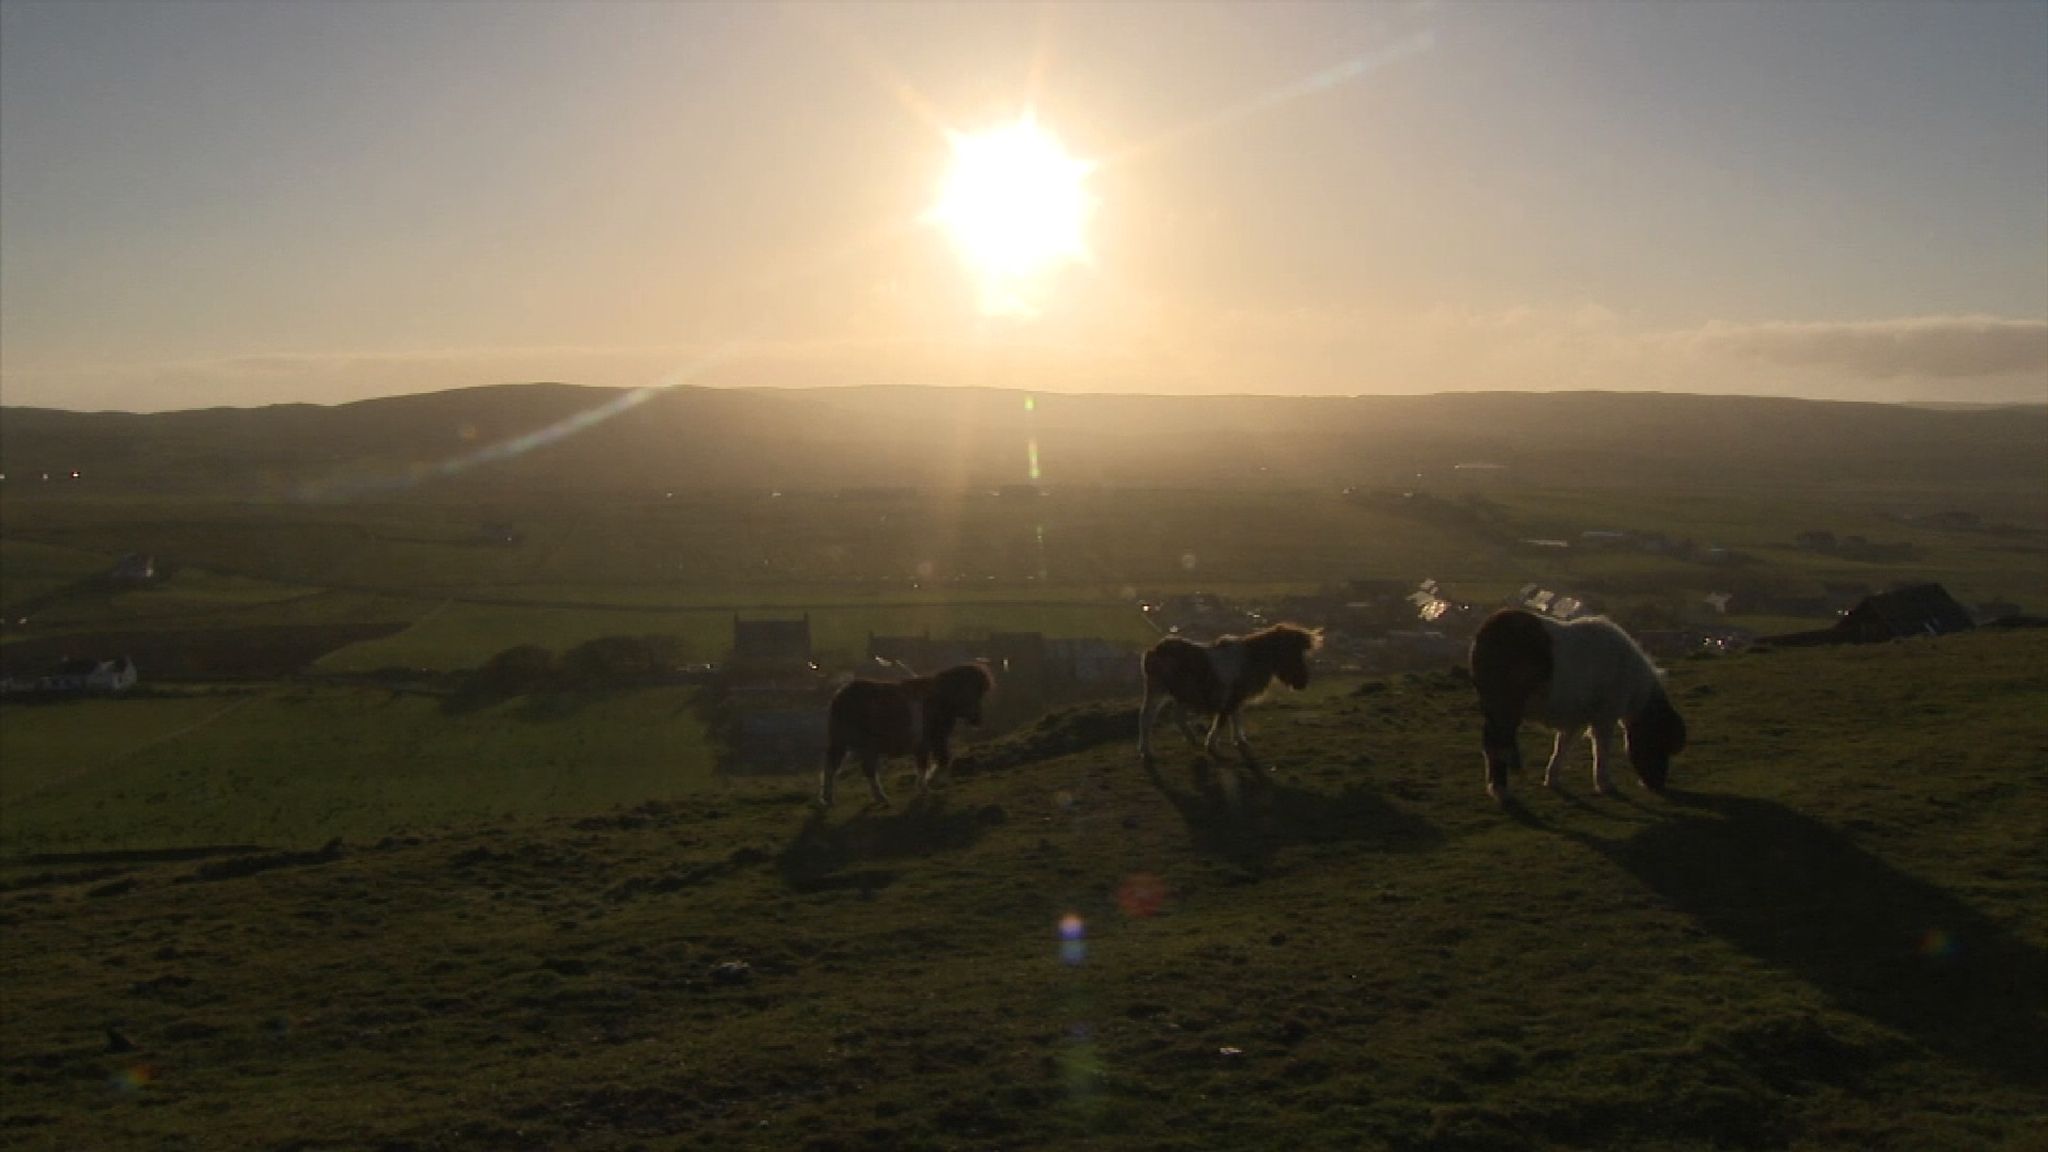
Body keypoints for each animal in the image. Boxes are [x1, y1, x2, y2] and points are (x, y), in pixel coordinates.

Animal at [823, 660, 999, 803]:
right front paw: (926, 786)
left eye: (980, 693)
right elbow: (934, 763)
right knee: (847, 769)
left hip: (854, 744)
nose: (977, 720)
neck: (939, 700)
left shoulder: (931, 742)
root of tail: (840, 694)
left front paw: (928, 784)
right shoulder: (931, 741)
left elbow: (934, 762)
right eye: (969, 691)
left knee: (847, 768)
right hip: (853, 743)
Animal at [1138, 623, 1327, 758]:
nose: (1302, 683)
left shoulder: (1237, 697)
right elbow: (1222, 719)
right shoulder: (1228, 698)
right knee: (1151, 717)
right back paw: (1149, 751)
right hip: (1163, 690)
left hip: (1176, 692)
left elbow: (1236, 717)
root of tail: (1155, 650)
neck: (1252, 658)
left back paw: (1183, 740)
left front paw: (1240, 741)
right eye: (1293, 653)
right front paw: (1213, 746)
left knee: (1168, 715)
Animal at [1466, 610, 1687, 799]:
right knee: (1496, 744)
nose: (1657, 785)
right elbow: (1601, 750)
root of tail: (1485, 631)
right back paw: (1500, 790)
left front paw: (1552, 780)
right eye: (1659, 742)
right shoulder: (1605, 717)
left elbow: (1562, 746)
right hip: (1503, 708)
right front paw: (1605, 785)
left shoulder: (1575, 719)